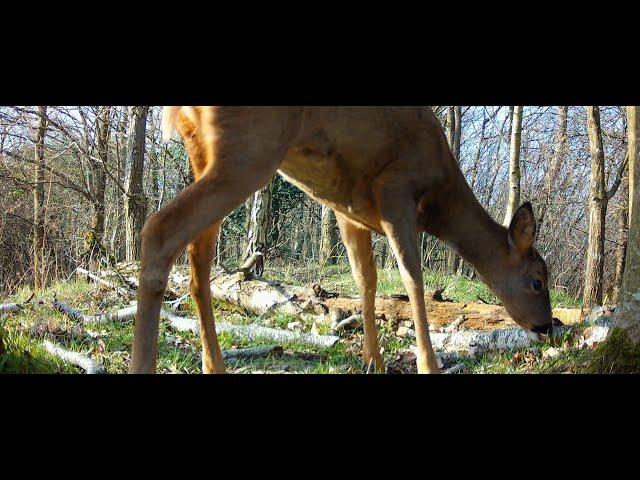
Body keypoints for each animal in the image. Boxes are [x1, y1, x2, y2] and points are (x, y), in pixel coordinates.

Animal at [129, 108, 552, 376]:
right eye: (537, 280)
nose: (547, 326)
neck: (439, 198)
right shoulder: (395, 189)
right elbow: (413, 280)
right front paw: (428, 365)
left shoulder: (348, 210)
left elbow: (366, 281)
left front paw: (373, 360)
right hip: (249, 149)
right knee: (159, 229)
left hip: (203, 150)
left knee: (197, 260)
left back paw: (214, 364)